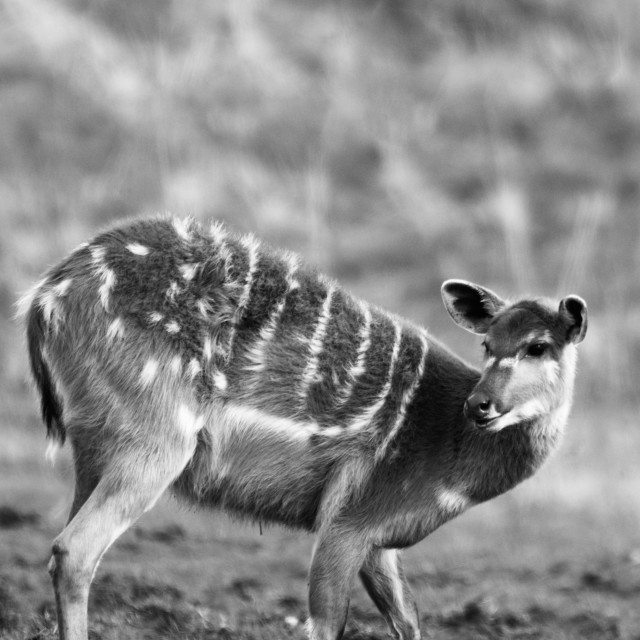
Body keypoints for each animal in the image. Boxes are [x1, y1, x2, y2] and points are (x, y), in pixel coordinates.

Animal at [20, 216, 588, 640]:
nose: (481, 405)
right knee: (73, 551)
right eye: (488, 344)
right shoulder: (347, 522)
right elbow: (327, 622)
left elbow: (407, 619)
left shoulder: (376, 539)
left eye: (538, 346)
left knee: (64, 544)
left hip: (94, 446)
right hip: (156, 441)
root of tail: (45, 297)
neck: (445, 440)